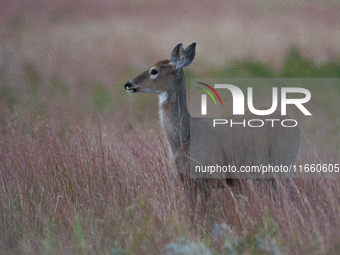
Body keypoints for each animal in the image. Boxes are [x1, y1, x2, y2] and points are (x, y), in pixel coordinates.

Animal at [125, 42, 300, 205]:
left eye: (154, 71)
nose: (128, 84)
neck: (183, 138)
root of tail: (295, 125)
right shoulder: (185, 180)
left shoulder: (207, 176)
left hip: (282, 161)